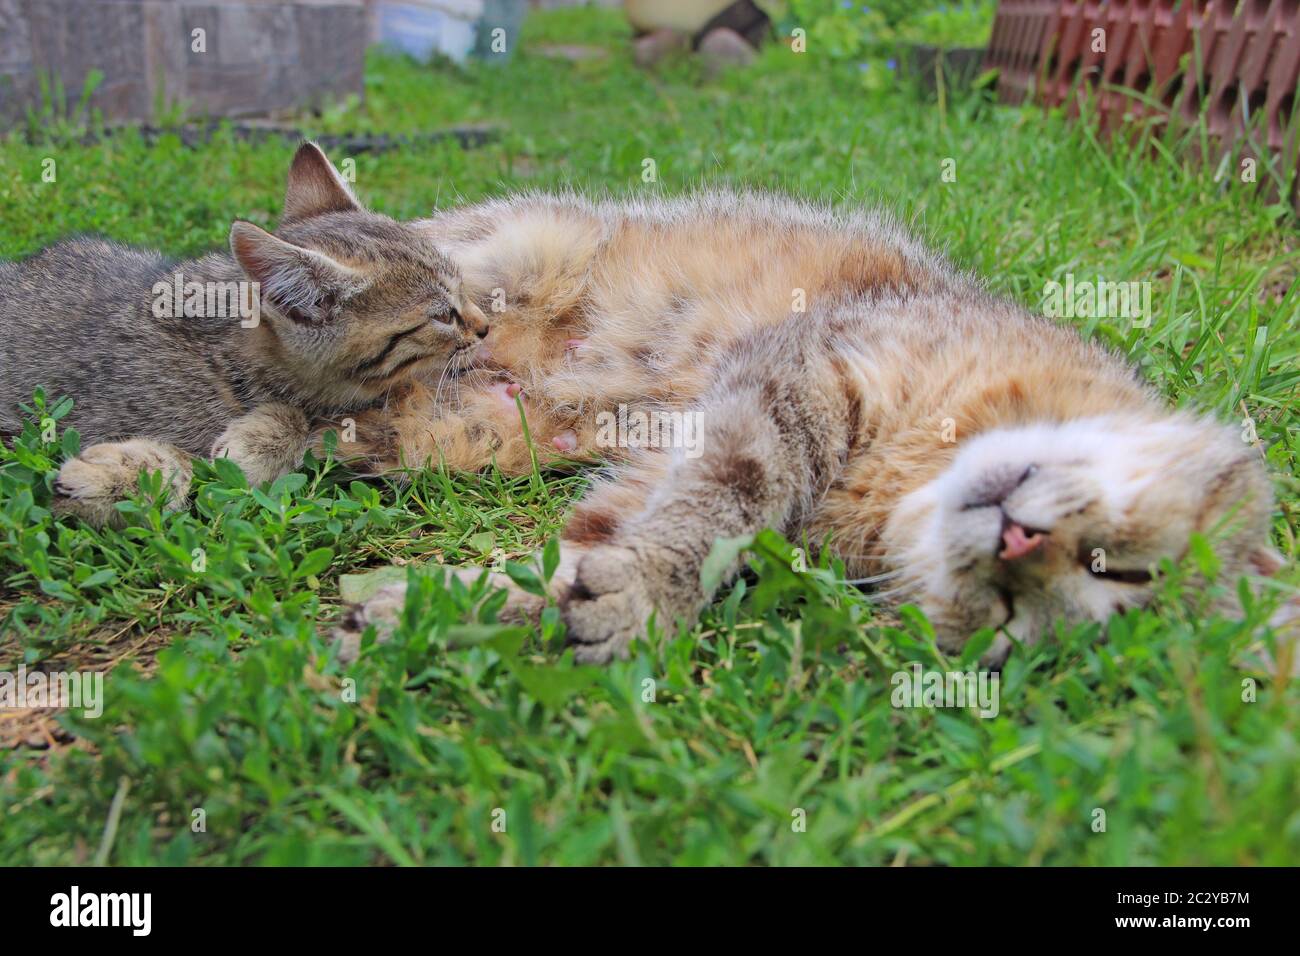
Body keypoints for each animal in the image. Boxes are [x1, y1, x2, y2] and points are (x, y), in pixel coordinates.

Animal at [332, 189, 1289, 660]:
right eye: (1121, 566)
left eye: (1009, 623)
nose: (1019, 543)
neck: (901, 483)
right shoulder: (801, 374)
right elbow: (728, 494)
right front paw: (652, 585)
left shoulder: (680, 455)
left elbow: (586, 549)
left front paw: (438, 610)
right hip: (494, 251)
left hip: (466, 437)